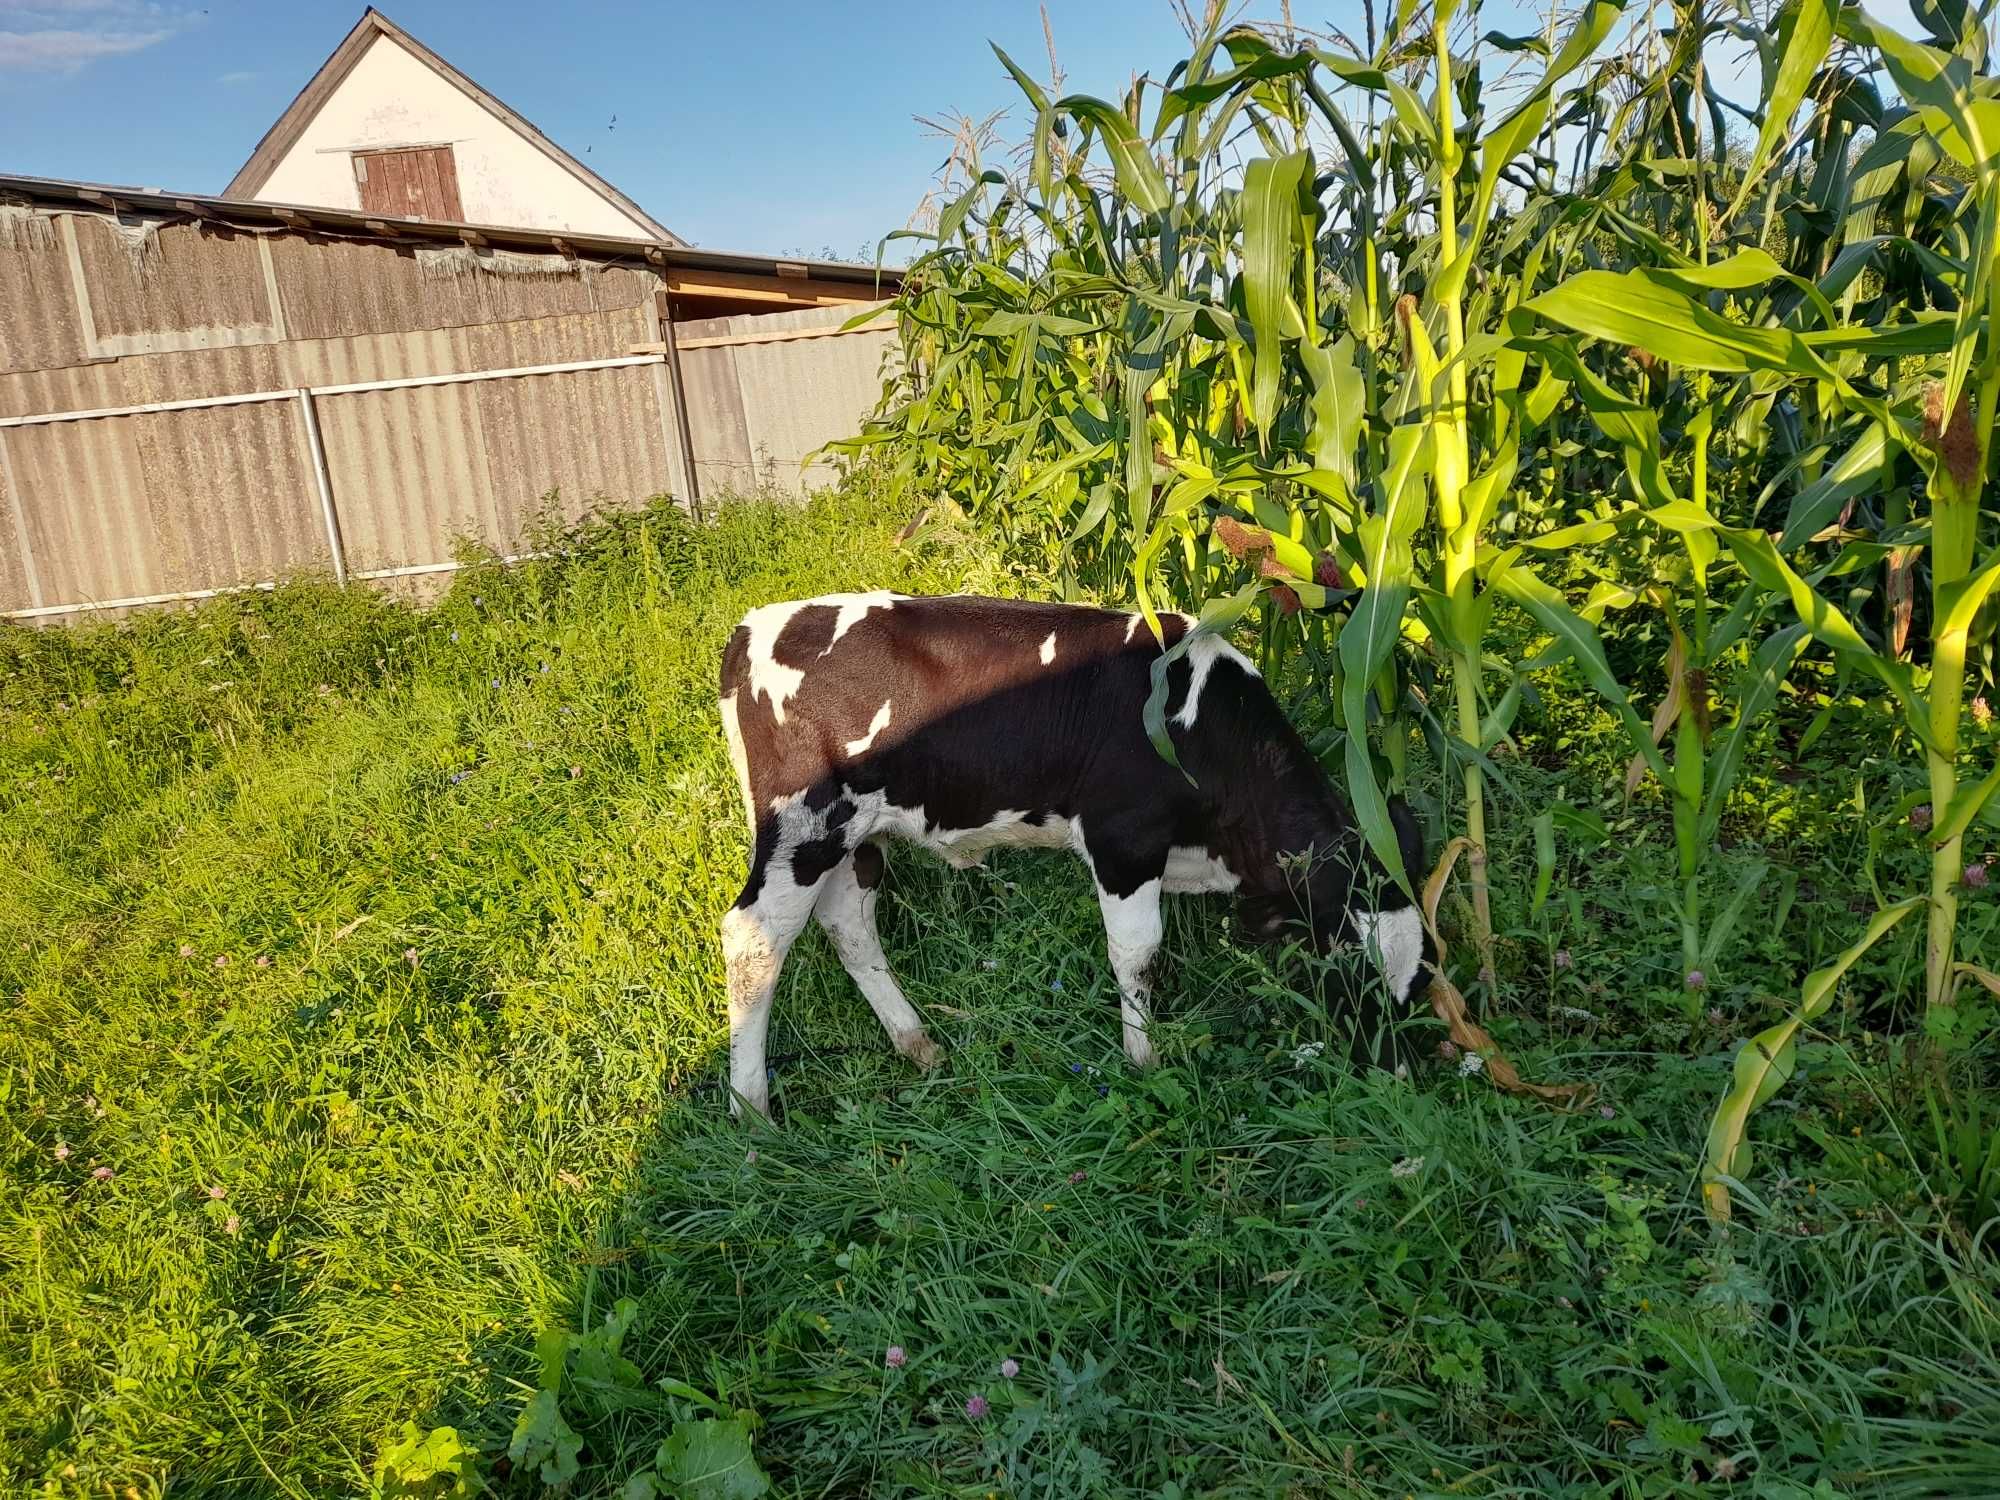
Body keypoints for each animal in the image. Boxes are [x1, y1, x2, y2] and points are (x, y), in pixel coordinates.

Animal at [728, 592, 1432, 1120]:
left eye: (1420, 980)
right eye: (1351, 972)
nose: (1396, 1077)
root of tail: (748, 630)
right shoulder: (1124, 843)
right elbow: (1138, 955)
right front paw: (1144, 1061)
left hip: (856, 838)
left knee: (848, 924)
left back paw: (915, 1042)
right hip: (803, 827)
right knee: (752, 941)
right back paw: (750, 1109)